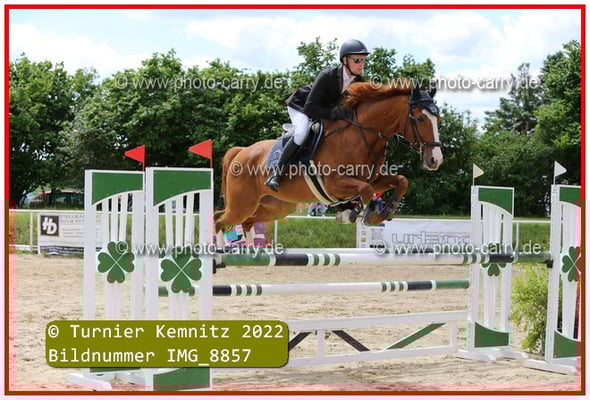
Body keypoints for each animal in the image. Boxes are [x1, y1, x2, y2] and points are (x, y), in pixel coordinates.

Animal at [215, 81, 442, 240]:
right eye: (421, 118)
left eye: (438, 119)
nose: (436, 160)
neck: (361, 136)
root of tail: (241, 151)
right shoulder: (334, 185)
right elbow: (366, 190)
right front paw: (356, 213)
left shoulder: (373, 179)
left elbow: (401, 181)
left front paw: (381, 213)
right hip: (242, 205)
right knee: (219, 221)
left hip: (274, 208)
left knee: (247, 223)